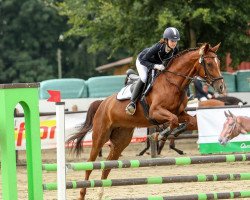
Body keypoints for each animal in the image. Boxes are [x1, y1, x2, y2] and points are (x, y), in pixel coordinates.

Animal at [67, 42, 226, 198]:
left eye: (218, 62)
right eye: (209, 63)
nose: (221, 87)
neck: (173, 82)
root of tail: (102, 103)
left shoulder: (180, 113)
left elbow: (190, 121)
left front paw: (173, 132)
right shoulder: (155, 112)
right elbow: (173, 120)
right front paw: (159, 135)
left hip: (121, 140)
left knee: (107, 165)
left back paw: (101, 192)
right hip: (100, 136)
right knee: (90, 164)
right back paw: (82, 194)